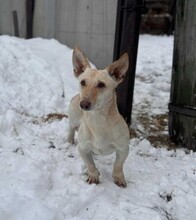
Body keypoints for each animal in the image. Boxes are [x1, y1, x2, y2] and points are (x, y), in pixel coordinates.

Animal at [67, 48, 130, 187]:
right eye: (83, 82)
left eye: (101, 85)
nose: (83, 104)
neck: (98, 120)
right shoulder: (83, 148)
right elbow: (90, 164)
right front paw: (93, 176)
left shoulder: (123, 149)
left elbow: (118, 165)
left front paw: (118, 177)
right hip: (73, 117)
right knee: (70, 127)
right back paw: (69, 140)